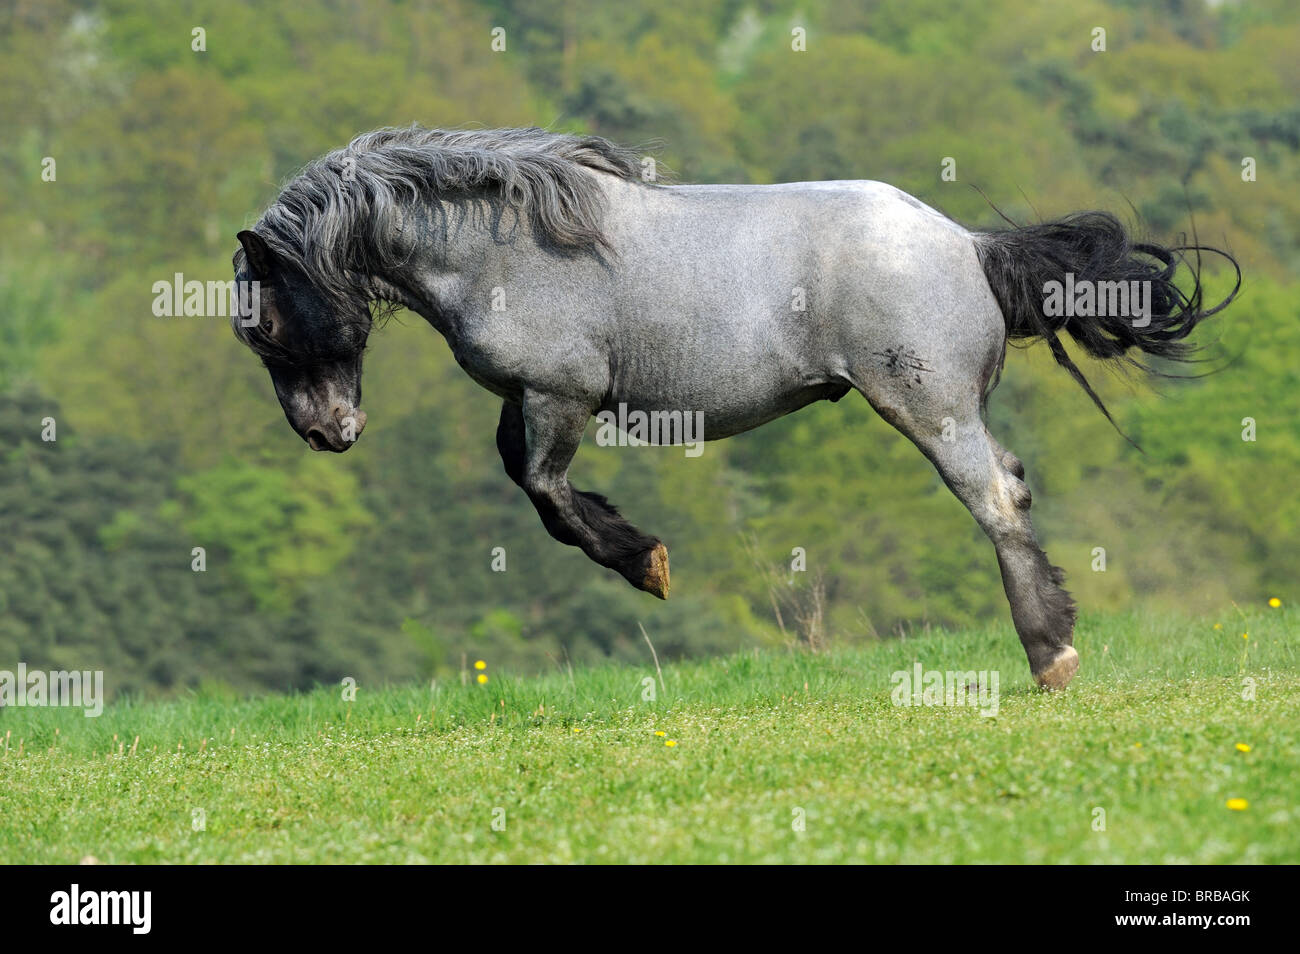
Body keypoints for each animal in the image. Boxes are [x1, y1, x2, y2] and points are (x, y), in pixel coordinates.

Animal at [231, 128, 1237, 696]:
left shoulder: (562, 396)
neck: (502, 250)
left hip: (931, 410)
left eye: (265, 322)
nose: (326, 433)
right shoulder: (532, 400)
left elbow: (548, 493)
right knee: (1014, 489)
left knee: (996, 499)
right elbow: (526, 476)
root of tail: (969, 245)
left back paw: (1049, 655)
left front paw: (647, 563)